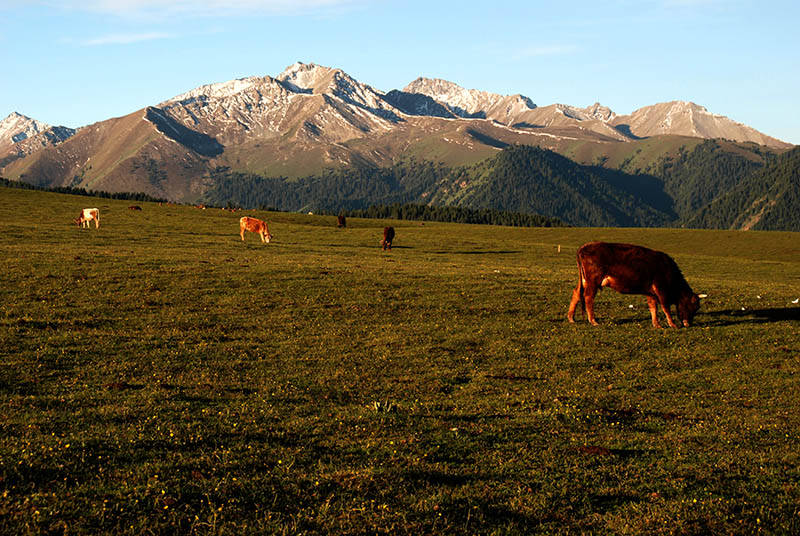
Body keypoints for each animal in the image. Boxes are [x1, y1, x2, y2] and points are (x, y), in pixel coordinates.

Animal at [564, 242, 704, 326]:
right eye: (691, 306)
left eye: (697, 308)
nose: (688, 324)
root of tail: (584, 247)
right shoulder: (661, 288)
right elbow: (665, 307)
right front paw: (672, 324)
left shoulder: (650, 292)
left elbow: (653, 307)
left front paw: (656, 324)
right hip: (593, 280)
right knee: (588, 297)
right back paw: (593, 321)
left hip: (584, 280)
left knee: (576, 293)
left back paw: (571, 318)